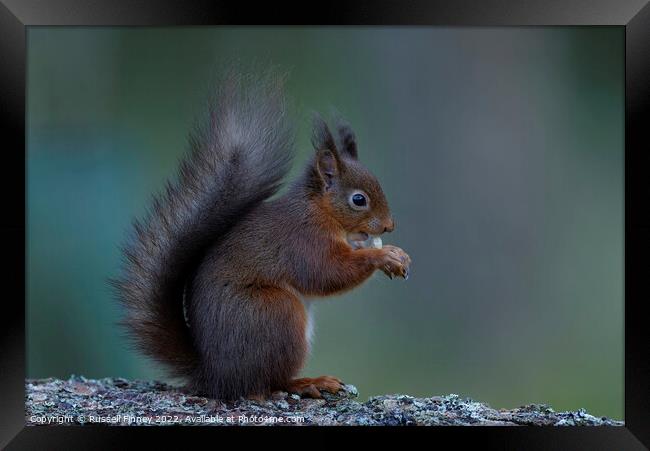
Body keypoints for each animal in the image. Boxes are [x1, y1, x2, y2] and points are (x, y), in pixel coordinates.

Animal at [113, 72, 408, 400]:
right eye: (359, 200)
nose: (389, 226)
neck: (319, 210)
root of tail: (215, 375)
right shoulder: (303, 239)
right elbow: (326, 273)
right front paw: (382, 255)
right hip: (275, 313)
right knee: (268, 382)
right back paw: (307, 383)